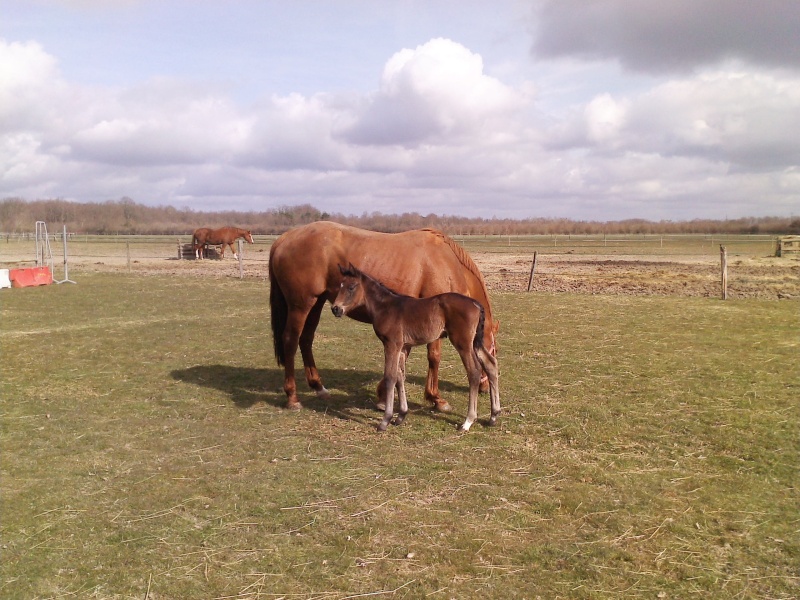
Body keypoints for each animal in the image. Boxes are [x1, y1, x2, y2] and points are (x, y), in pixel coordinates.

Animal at [268, 220, 496, 412]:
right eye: (492, 349)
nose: (486, 387)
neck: (446, 262)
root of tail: (283, 239)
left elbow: (404, 356)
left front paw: (383, 395)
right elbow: (434, 356)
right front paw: (436, 398)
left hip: (316, 303)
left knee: (306, 339)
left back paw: (318, 386)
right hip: (301, 305)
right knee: (290, 340)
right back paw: (292, 397)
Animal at [332, 264, 500, 432]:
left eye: (351, 287)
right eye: (340, 285)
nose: (336, 309)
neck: (386, 307)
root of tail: (476, 304)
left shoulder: (391, 344)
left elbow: (390, 377)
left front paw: (385, 421)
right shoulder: (402, 347)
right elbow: (400, 376)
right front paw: (401, 415)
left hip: (463, 343)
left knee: (474, 371)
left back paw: (468, 421)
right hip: (475, 342)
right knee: (491, 364)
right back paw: (493, 416)